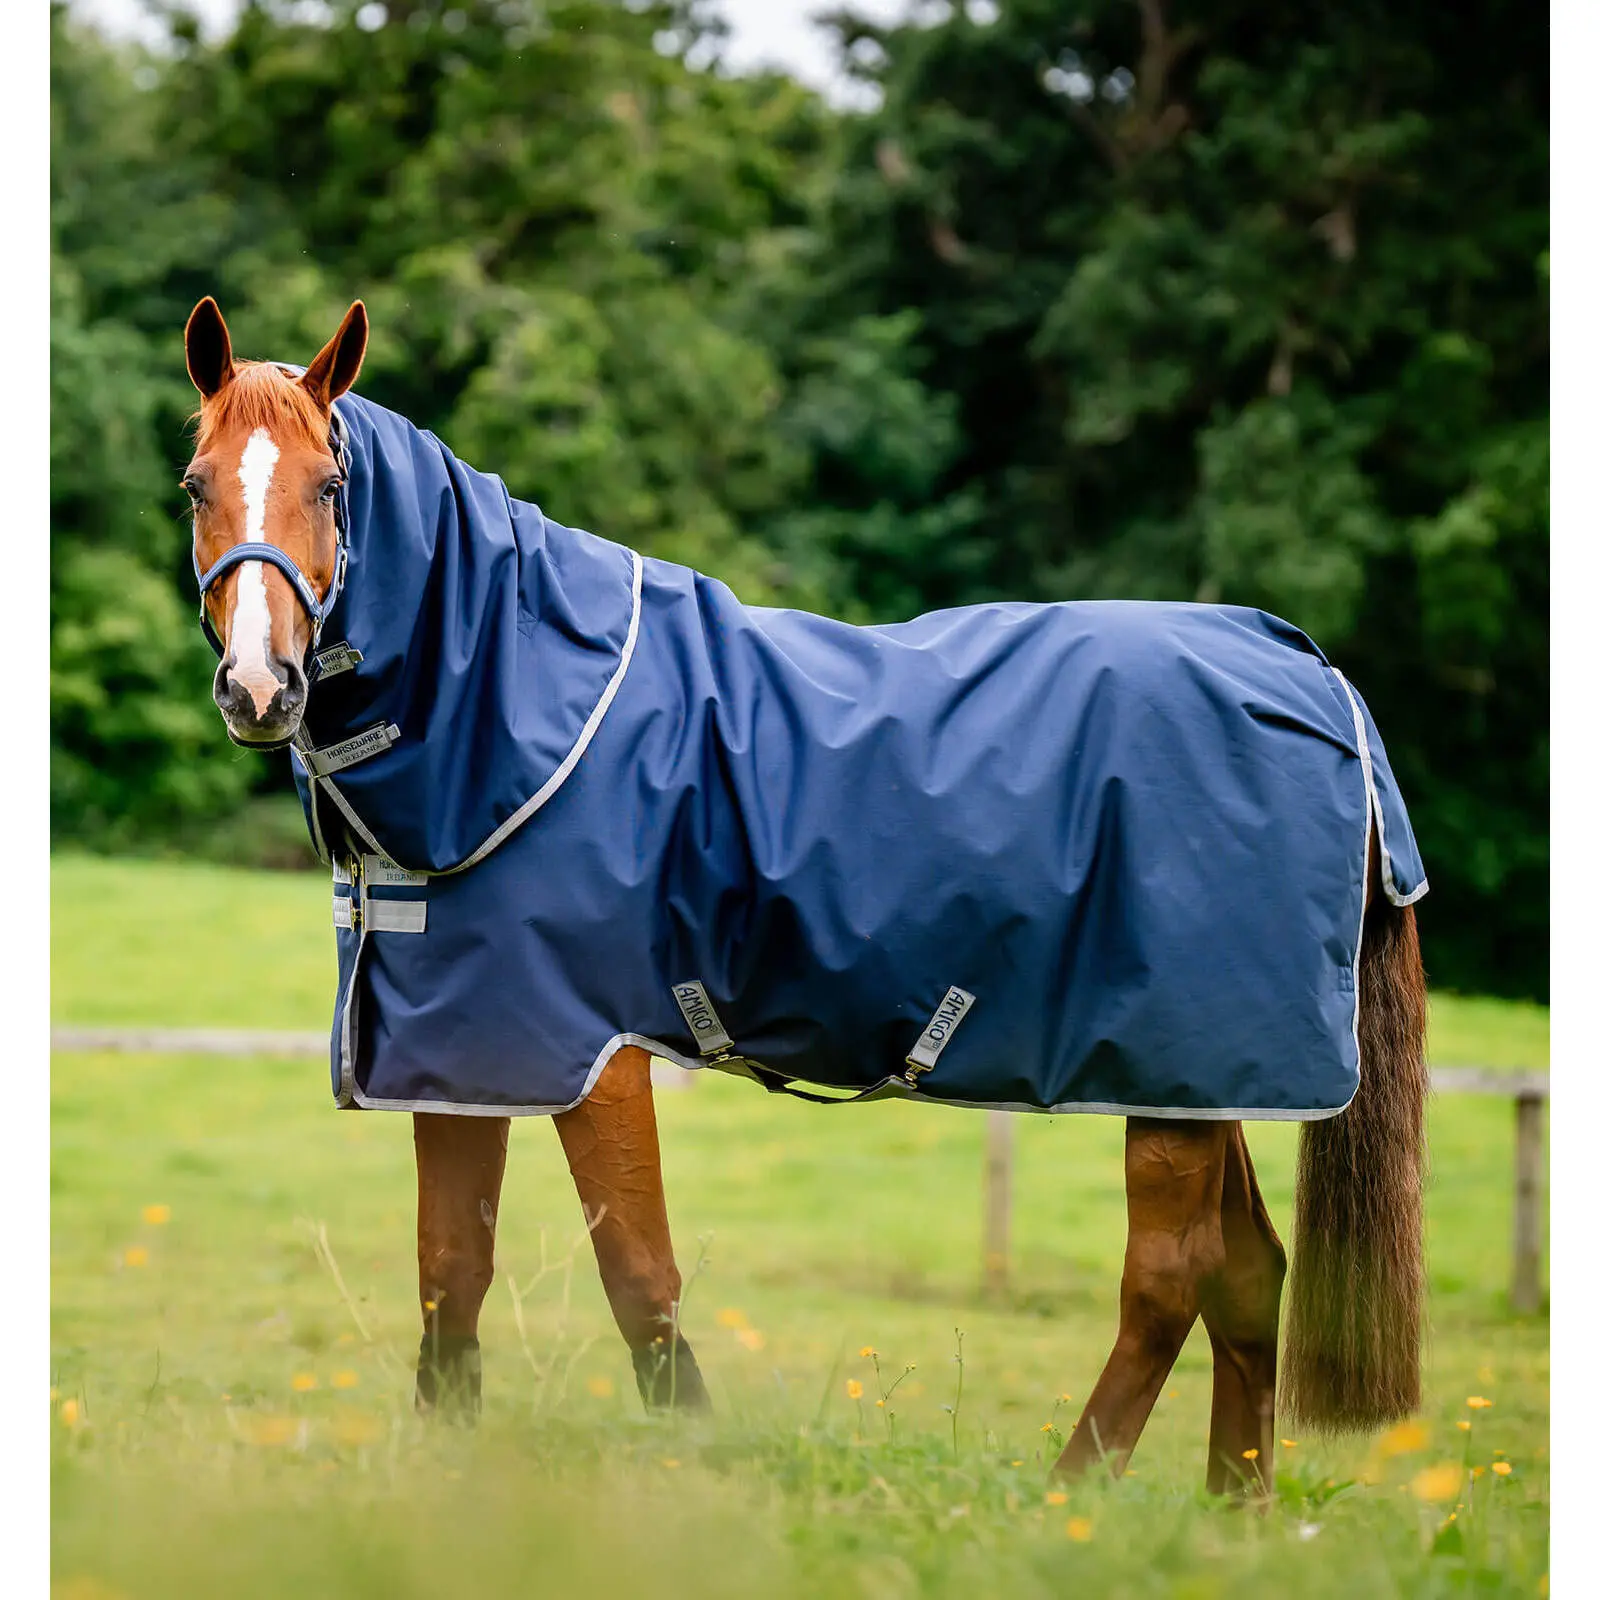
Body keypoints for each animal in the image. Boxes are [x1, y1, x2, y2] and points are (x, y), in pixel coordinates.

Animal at [180, 296, 1429, 1495]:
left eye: (332, 484)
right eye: (197, 483)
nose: (259, 686)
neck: (518, 705)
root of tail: (1313, 674)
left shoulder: (592, 1052)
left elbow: (639, 1278)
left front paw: (693, 1465)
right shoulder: (460, 1048)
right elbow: (451, 1273)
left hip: (1172, 1078)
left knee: (1166, 1280)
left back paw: (1069, 1497)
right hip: (1203, 1084)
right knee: (1246, 1273)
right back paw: (1231, 1515)